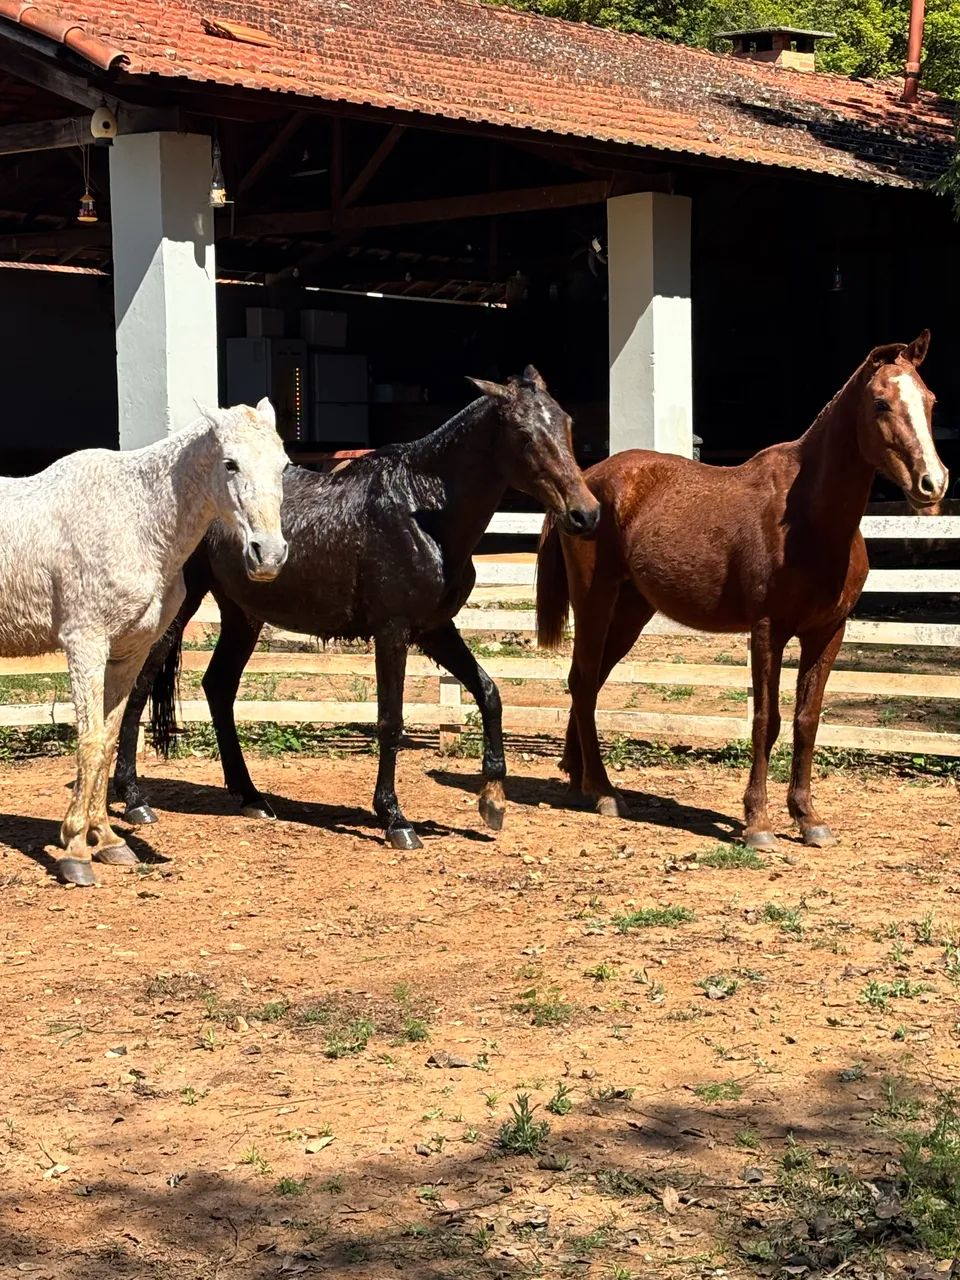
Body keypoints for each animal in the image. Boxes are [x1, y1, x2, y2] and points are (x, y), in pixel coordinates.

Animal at [0, 400, 289, 886]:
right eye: (230, 464)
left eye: (283, 465)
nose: (267, 554)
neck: (134, 519)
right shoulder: (85, 645)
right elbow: (90, 741)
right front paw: (75, 851)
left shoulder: (129, 653)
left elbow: (109, 739)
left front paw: (107, 841)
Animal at [113, 368, 600, 849]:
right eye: (524, 434)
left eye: (567, 424)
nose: (586, 514)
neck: (421, 512)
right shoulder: (393, 632)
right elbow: (390, 721)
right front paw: (394, 818)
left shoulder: (436, 629)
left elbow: (489, 693)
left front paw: (493, 800)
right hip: (179, 610)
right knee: (139, 689)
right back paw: (134, 799)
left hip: (241, 613)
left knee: (219, 687)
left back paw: (251, 797)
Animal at [536, 332, 948, 850]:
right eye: (880, 402)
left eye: (930, 401)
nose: (933, 483)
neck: (809, 521)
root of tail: (585, 485)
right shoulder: (768, 631)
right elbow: (766, 721)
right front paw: (757, 822)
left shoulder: (827, 633)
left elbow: (807, 721)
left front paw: (808, 818)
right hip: (595, 599)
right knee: (584, 681)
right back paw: (605, 792)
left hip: (630, 612)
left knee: (586, 683)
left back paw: (580, 779)